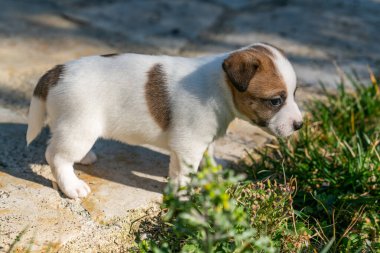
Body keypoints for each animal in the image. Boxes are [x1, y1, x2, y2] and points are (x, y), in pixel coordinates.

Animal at [26, 42, 302, 199]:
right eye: (276, 101)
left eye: (294, 94)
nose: (299, 125)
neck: (220, 85)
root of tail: (56, 72)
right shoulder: (189, 146)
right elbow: (184, 174)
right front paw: (183, 197)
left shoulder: (204, 139)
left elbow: (209, 157)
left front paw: (213, 174)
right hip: (80, 126)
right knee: (57, 157)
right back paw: (72, 186)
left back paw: (84, 158)